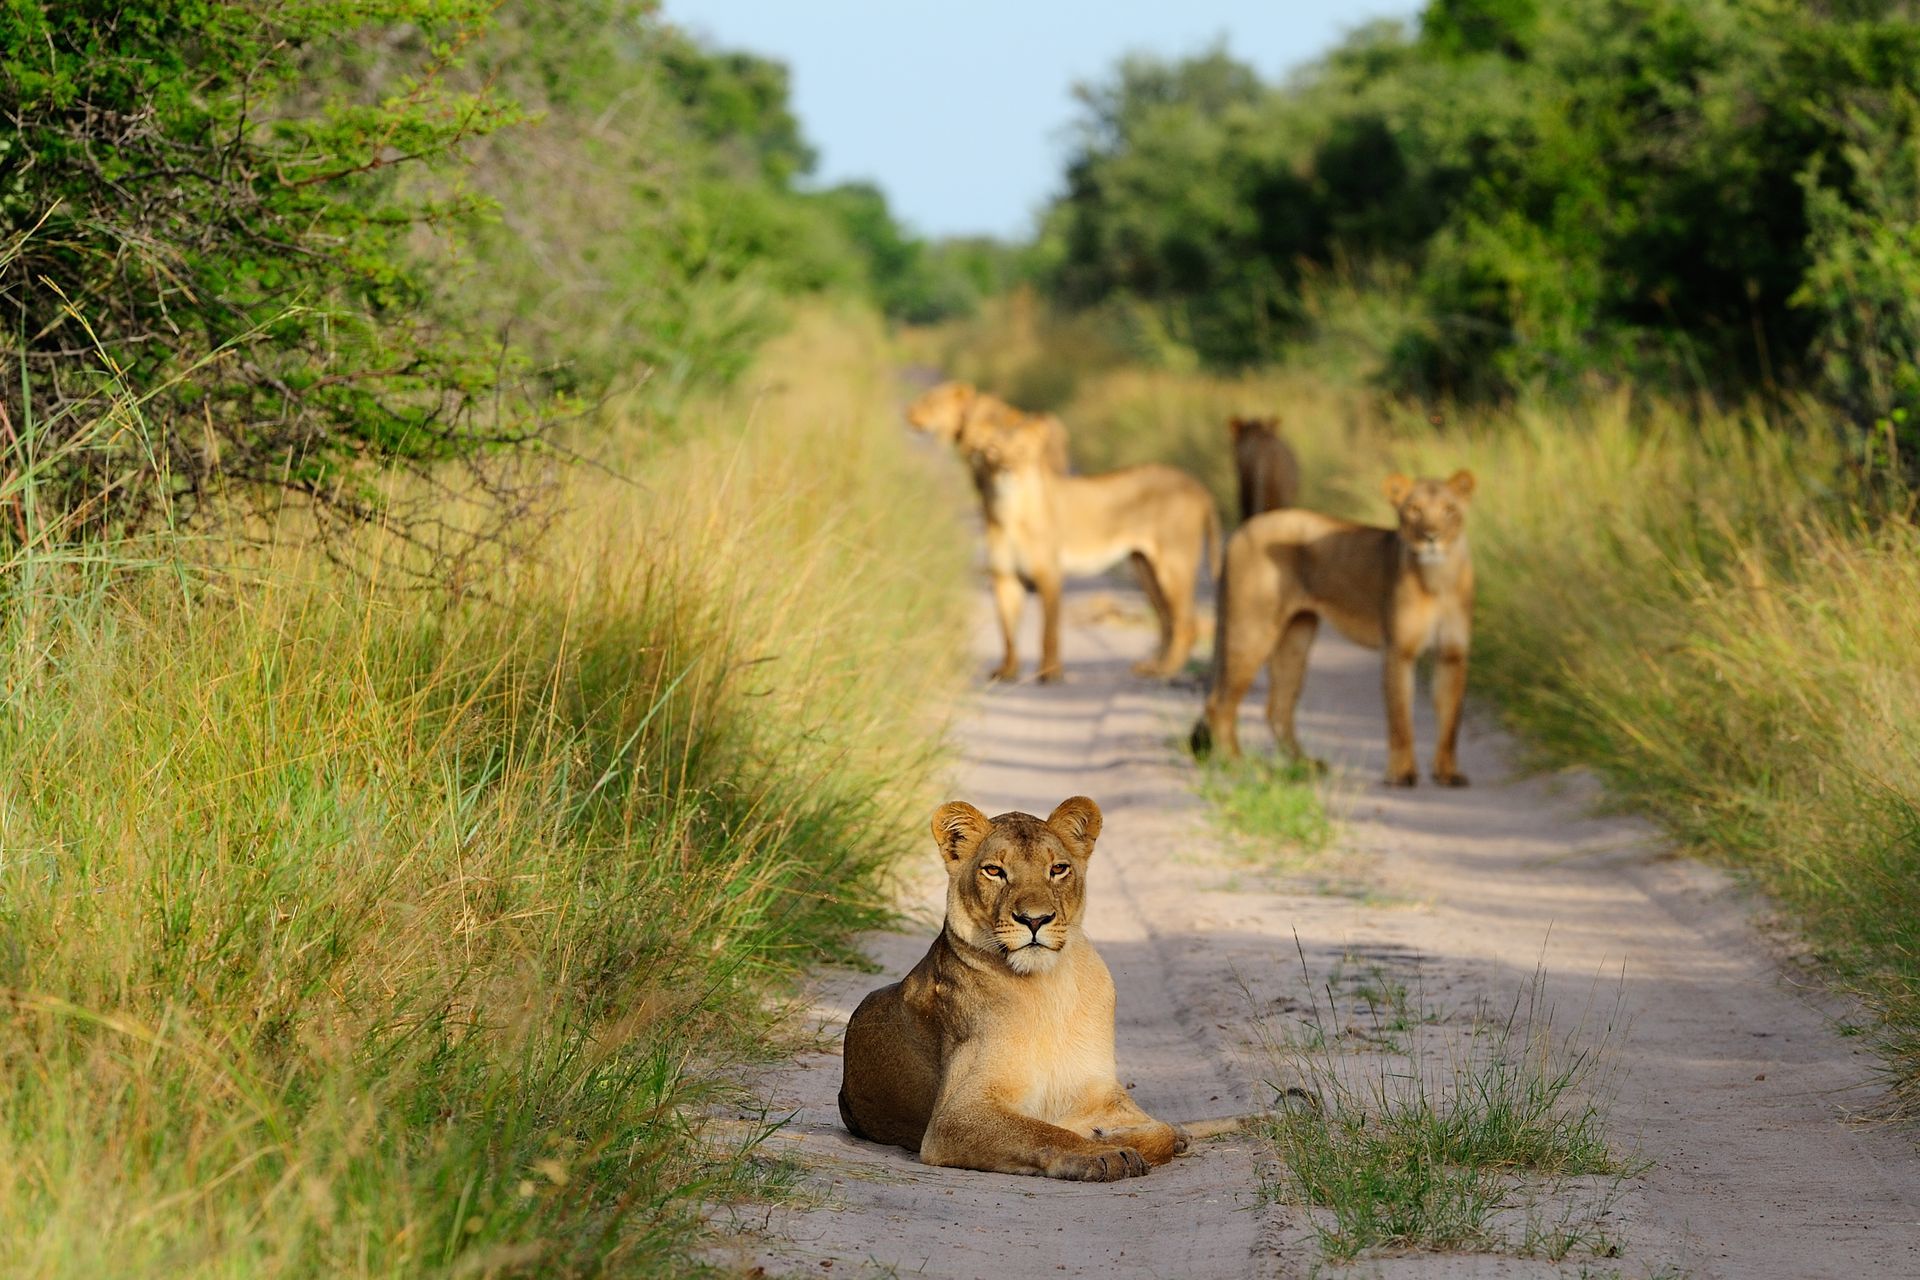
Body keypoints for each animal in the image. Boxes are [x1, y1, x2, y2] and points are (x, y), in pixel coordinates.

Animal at [838, 796, 1190, 1180]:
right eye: (994, 871)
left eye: (1058, 869)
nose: (1035, 920)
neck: (1049, 986)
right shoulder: (953, 1116)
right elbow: (1043, 1131)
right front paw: (1103, 1150)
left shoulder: (1098, 1090)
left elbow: (1165, 1133)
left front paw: (1120, 1136)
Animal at [964, 410, 1221, 682]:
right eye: (992, 450)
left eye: (1021, 451)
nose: (1006, 470)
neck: (1008, 512)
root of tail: (1196, 484)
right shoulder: (1005, 577)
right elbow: (1008, 633)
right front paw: (1007, 670)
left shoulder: (1049, 575)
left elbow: (1049, 631)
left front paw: (1050, 672)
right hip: (1145, 568)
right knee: (1166, 619)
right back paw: (1153, 666)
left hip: (1174, 564)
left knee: (1186, 623)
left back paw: (1165, 671)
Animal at [1191, 471, 1476, 786]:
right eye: (1414, 510)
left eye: (1449, 510)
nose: (1431, 537)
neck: (1439, 577)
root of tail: (1242, 530)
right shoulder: (1398, 650)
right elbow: (1400, 717)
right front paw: (1402, 773)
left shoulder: (1453, 655)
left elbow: (1451, 719)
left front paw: (1448, 773)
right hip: (1252, 629)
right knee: (1220, 703)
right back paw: (1235, 763)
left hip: (1296, 635)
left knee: (1277, 707)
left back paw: (1305, 764)